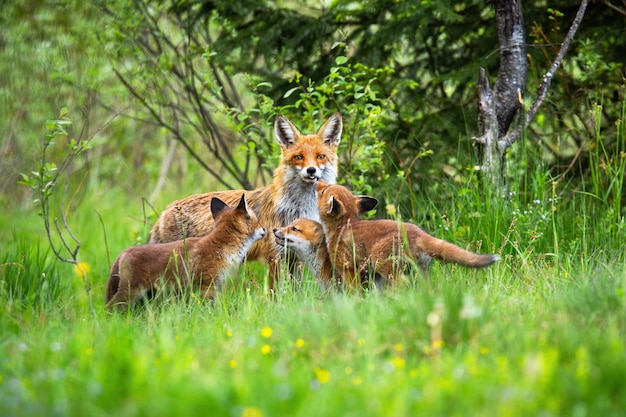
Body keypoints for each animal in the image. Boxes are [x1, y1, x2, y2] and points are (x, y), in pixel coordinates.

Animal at [149, 114, 342, 290]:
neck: (298, 208)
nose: (311, 170)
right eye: (299, 157)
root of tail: (165, 210)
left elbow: (295, 291)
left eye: (320, 156)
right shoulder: (275, 256)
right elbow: (276, 293)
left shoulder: (294, 256)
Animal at [314, 182, 500, 290]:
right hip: (420, 271)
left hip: (384, 264)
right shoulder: (371, 275)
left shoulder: (348, 269)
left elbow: (354, 293)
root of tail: (419, 233)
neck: (343, 226)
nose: (317, 180)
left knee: (402, 285)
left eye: (323, 191)